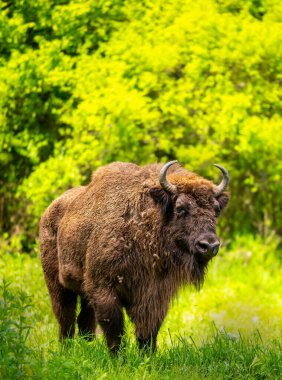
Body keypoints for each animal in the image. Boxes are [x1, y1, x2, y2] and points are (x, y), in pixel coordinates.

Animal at [39, 160, 229, 350]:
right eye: (180, 208)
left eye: (216, 209)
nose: (209, 245)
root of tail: (48, 213)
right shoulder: (104, 289)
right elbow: (114, 330)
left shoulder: (154, 296)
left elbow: (148, 333)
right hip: (57, 285)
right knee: (66, 319)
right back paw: (66, 348)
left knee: (84, 321)